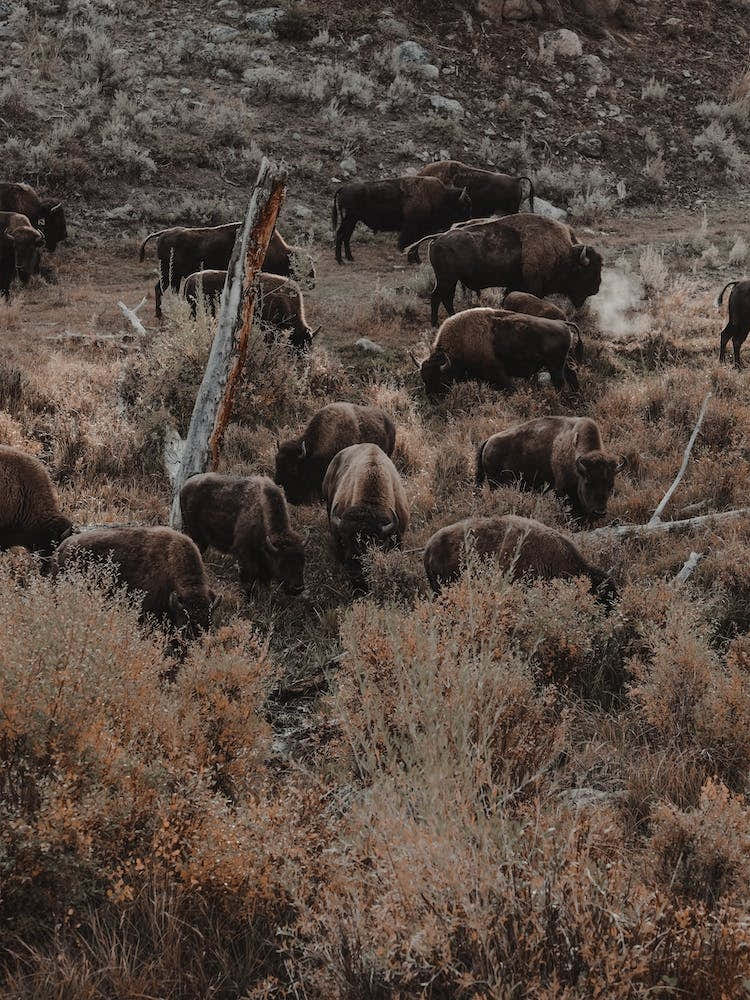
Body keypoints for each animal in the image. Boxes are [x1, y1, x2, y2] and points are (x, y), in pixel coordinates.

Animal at [332, 176, 471, 265]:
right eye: (464, 207)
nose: (467, 223)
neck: (441, 198)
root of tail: (343, 188)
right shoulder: (412, 228)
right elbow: (410, 244)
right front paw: (413, 260)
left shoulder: (419, 231)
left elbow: (415, 244)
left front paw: (416, 260)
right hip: (350, 219)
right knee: (341, 235)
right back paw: (341, 261)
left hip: (352, 220)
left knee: (346, 236)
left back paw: (350, 258)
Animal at [419, 307, 582, 396]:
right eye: (424, 378)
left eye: (439, 377)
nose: (432, 399)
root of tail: (562, 323)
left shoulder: (499, 374)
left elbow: (509, 388)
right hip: (562, 364)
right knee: (571, 376)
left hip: (555, 366)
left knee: (560, 383)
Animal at [477, 416, 619, 519]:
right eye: (588, 483)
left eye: (611, 485)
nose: (600, 512)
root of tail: (488, 441)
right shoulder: (562, 491)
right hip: (495, 484)